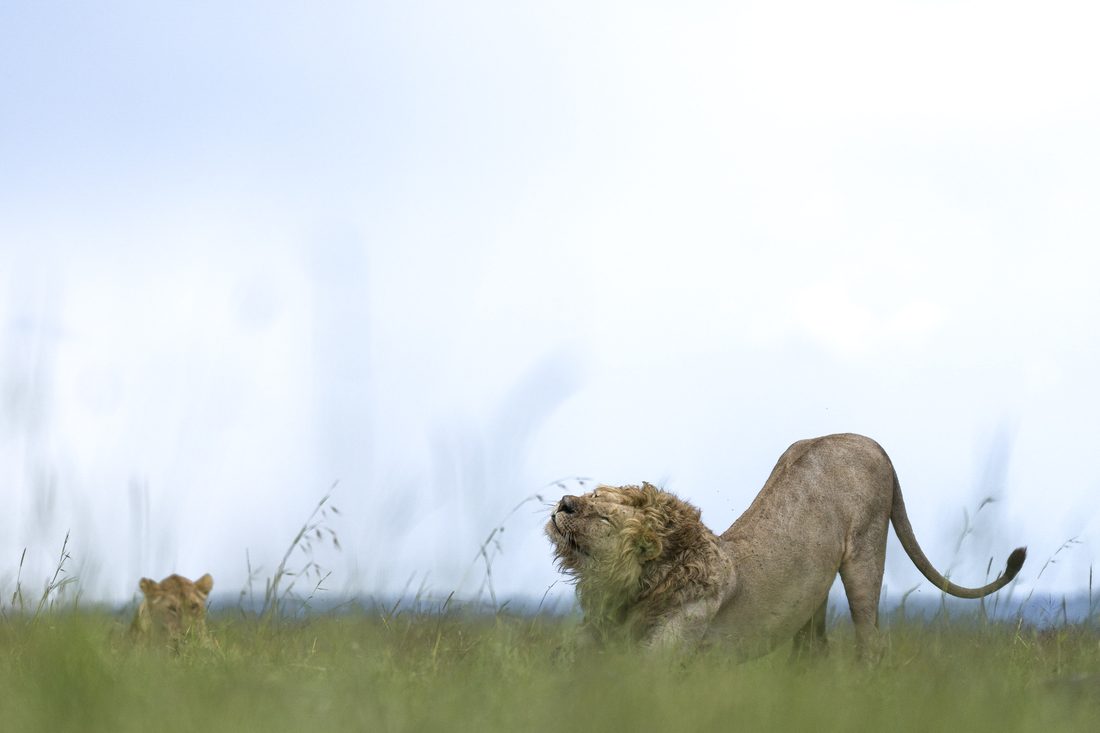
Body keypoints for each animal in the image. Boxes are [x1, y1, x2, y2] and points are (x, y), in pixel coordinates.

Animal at [546, 433, 1026, 660]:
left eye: (603, 517)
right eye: (592, 495)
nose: (564, 503)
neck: (641, 585)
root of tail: (871, 442)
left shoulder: (665, 654)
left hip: (865, 555)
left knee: (870, 641)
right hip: (813, 590)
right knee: (814, 647)